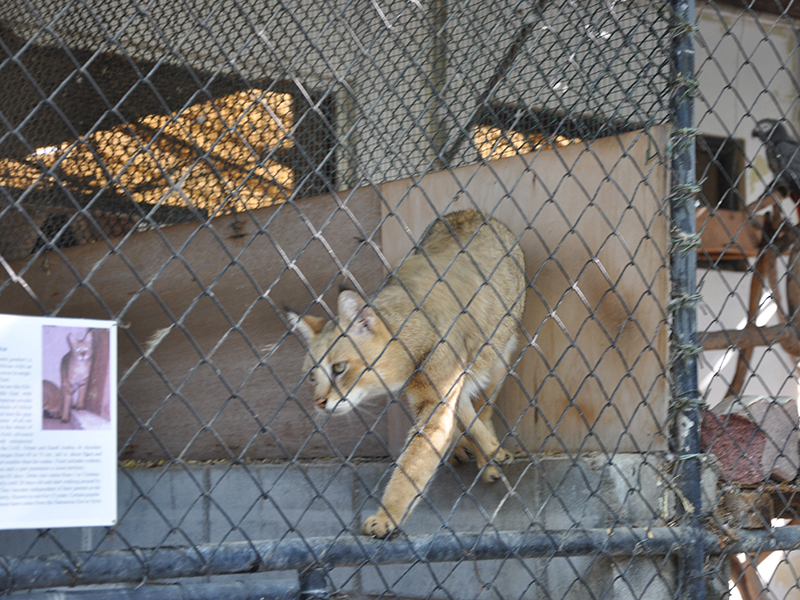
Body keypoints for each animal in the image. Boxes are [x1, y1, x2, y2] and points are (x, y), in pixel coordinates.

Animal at [288, 211, 524, 540]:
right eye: (312, 376)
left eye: (339, 368)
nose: (319, 402)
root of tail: (471, 211)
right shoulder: (433, 397)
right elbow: (456, 417)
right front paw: (483, 446)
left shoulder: (436, 403)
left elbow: (412, 464)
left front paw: (386, 515)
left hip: (500, 355)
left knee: (485, 403)